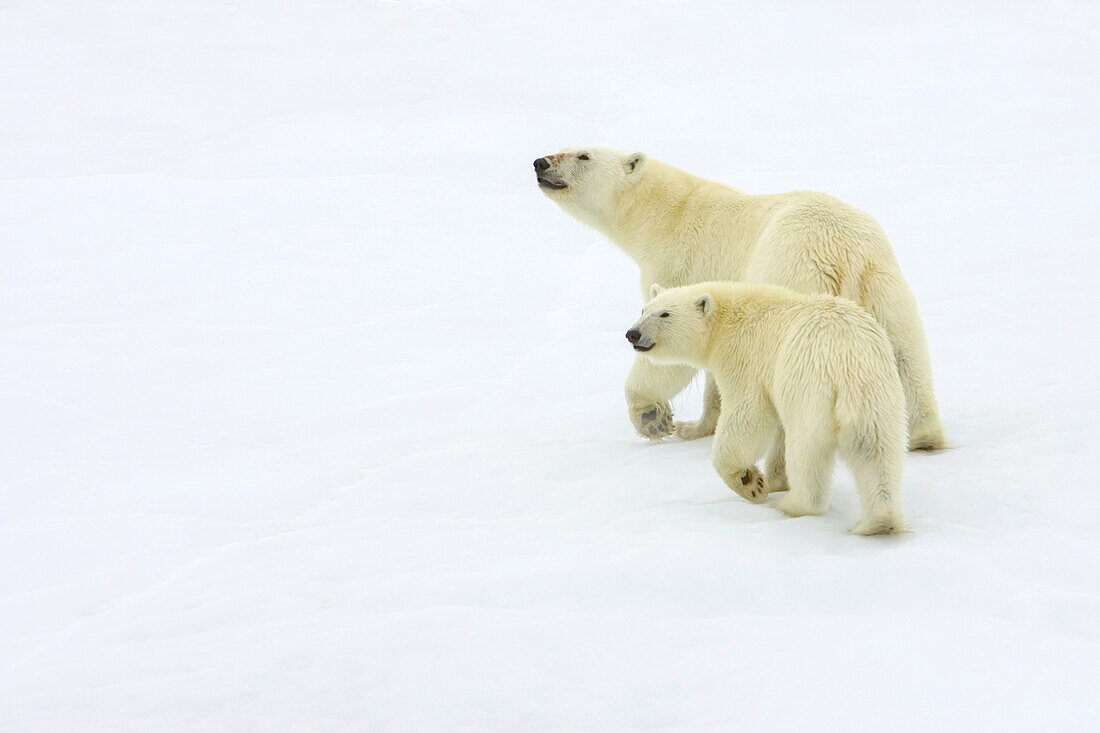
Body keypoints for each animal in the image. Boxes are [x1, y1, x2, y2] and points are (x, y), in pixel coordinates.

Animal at [534, 145, 946, 449]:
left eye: (584, 155)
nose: (540, 162)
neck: (667, 215)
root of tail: (840, 252)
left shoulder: (683, 265)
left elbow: (673, 347)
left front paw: (654, 418)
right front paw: (697, 425)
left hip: (791, 272)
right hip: (883, 282)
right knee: (908, 352)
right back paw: (924, 435)